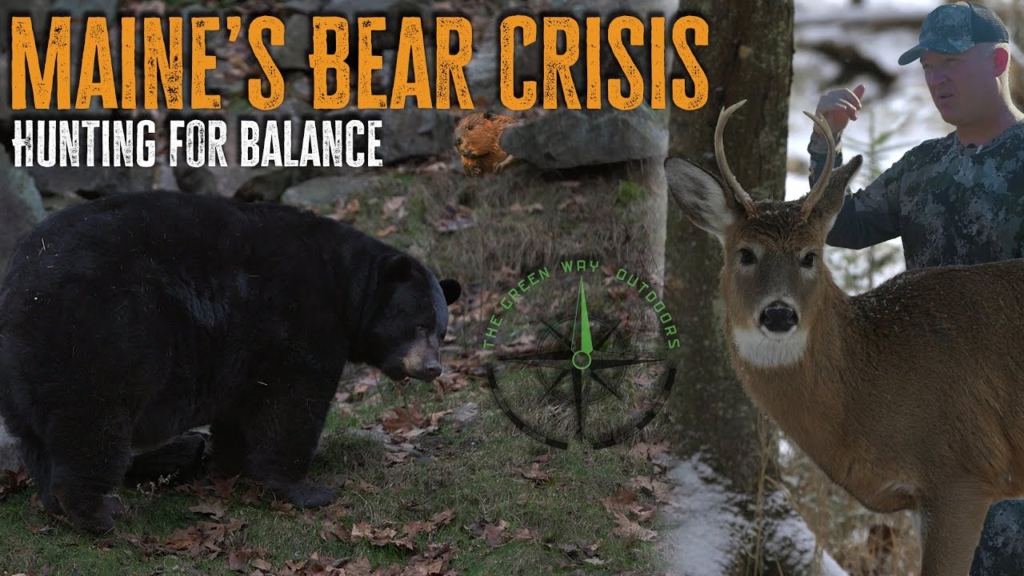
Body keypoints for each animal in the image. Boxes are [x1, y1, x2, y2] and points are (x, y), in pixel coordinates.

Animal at [0, 191, 462, 534]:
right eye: (419, 324)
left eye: (442, 332)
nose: (432, 368)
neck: (346, 285)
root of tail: (18, 286)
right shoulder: (298, 320)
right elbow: (293, 405)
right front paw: (308, 490)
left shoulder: (242, 355)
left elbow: (242, 409)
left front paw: (234, 468)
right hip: (98, 334)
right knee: (93, 423)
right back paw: (97, 513)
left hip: (27, 370)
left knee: (36, 438)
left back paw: (53, 502)